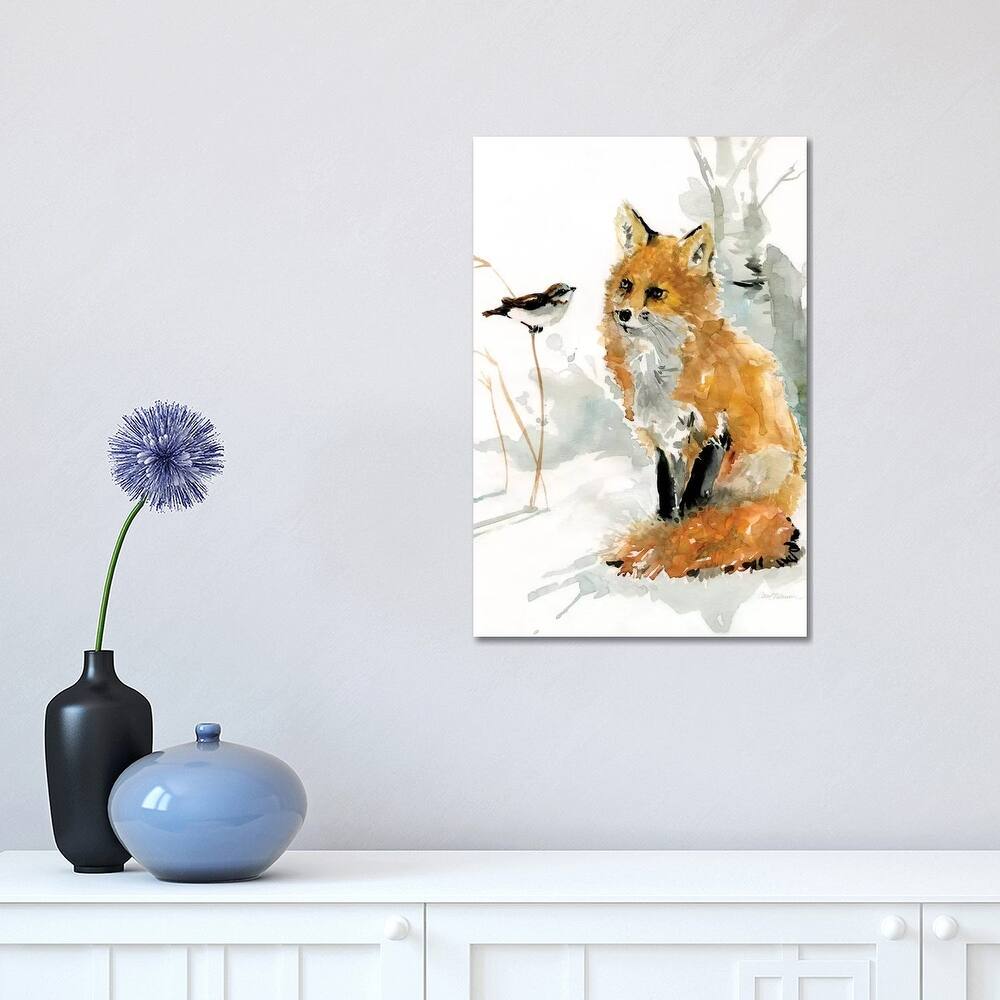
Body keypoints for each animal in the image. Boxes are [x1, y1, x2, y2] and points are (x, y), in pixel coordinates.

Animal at [601, 203, 805, 579]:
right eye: (626, 284)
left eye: (656, 293)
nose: (622, 314)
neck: (658, 370)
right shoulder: (664, 441)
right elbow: (668, 499)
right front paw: (668, 529)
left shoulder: (714, 430)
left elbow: (693, 501)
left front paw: (680, 538)